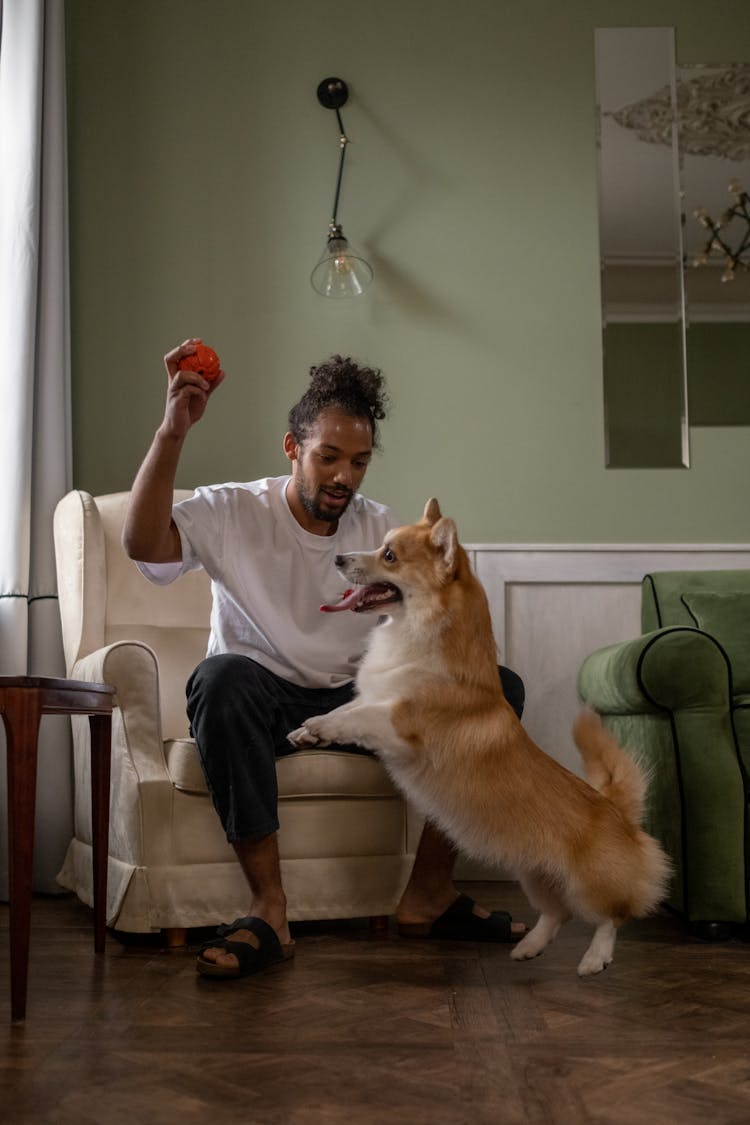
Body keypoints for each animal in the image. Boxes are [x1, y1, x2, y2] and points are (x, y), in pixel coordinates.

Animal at [290, 501, 670, 976]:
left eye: (389, 555)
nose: (339, 559)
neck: (416, 635)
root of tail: (617, 811)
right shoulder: (376, 699)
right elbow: (347, 711)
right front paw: (306, 730)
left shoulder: (400, 721)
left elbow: (358, 718)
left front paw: (319, 726)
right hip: (535, 875)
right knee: (556, 914)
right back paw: (528, 948)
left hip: (588, 885)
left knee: (611, 917)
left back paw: (594, 960)